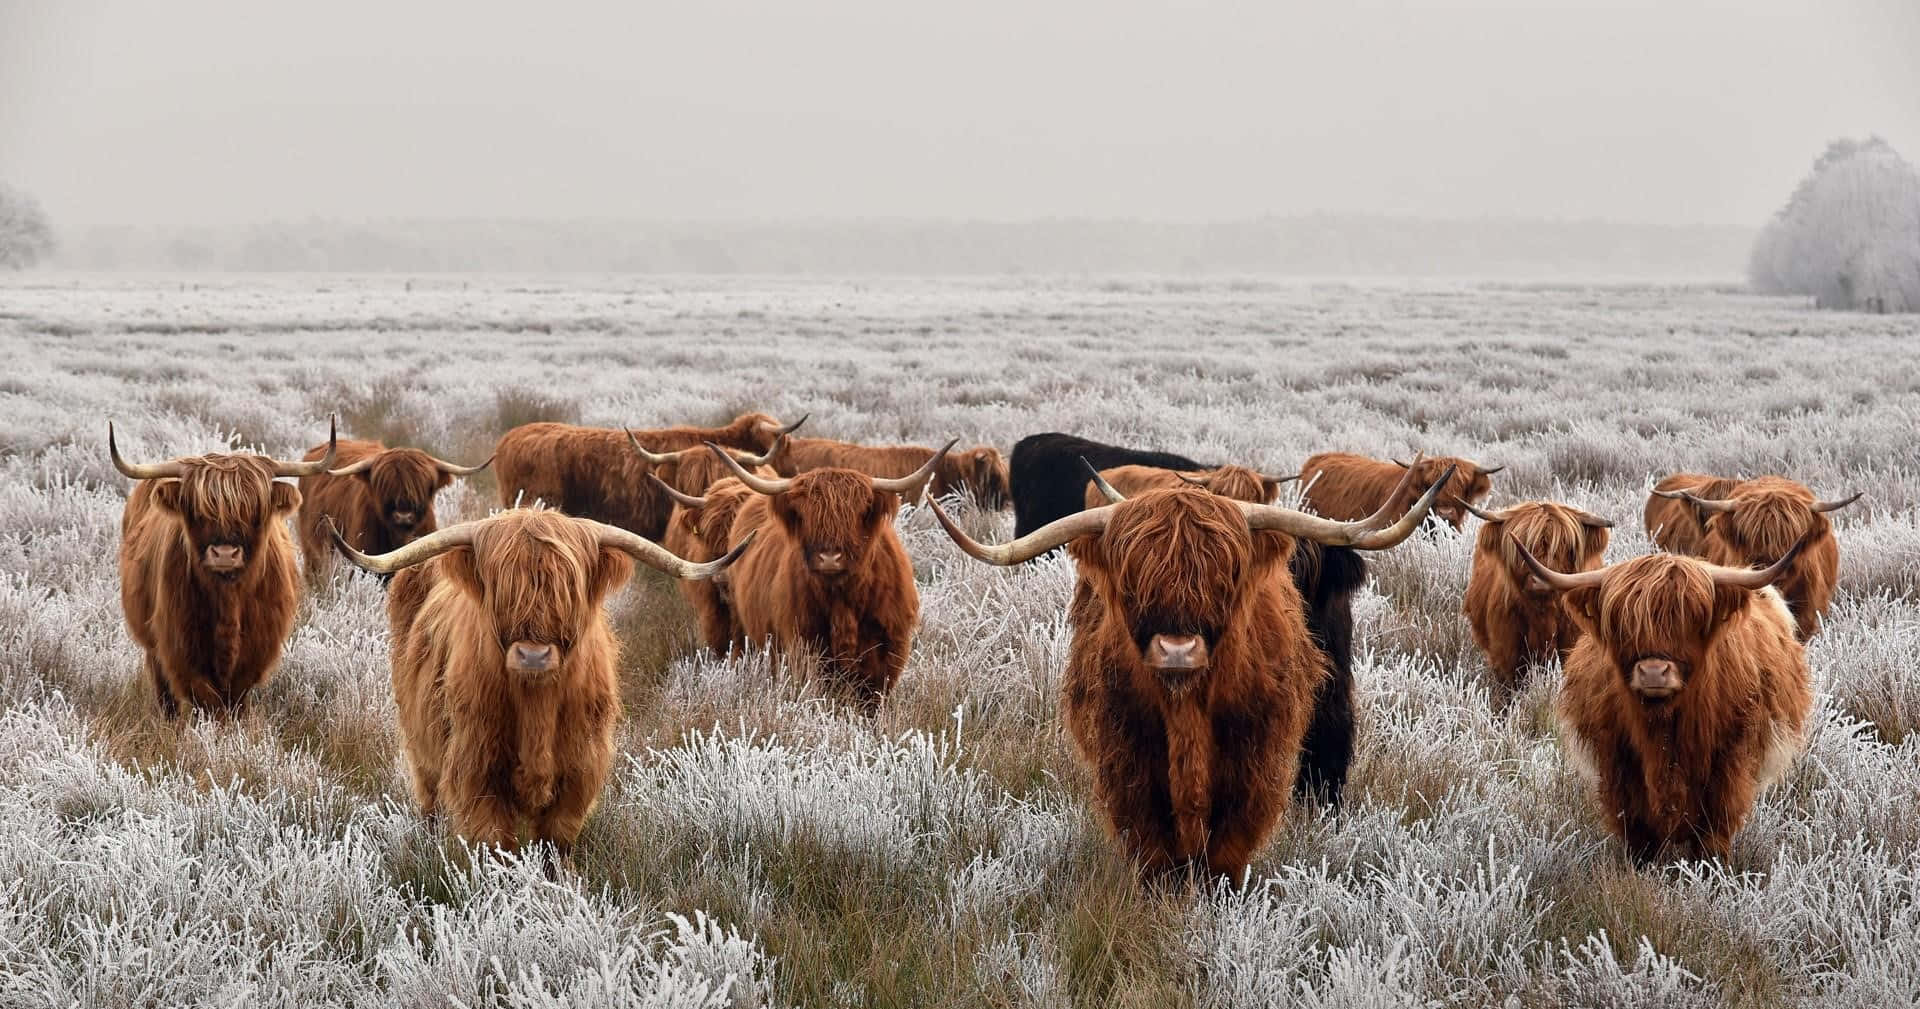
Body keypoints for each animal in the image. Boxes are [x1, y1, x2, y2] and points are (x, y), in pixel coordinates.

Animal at [112, 419, 337, 718]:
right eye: (198, 510)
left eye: (255, 511)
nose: (225, 553)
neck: (228, 598)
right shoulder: (180, 649)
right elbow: (207, 701)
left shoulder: (256, 653)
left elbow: (234, 702)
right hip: (152, 645)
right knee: (165, 693)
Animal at [327, 508, 751, 851]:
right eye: (501, 588)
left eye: (568, 589)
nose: (533, 655)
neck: (536, 708)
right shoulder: (475, 770)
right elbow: (496, 844)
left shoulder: (580, 772)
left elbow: (555, 842)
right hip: (421, 747)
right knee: (429, 797)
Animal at [710, 440, 954, 709]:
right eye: (805, 514)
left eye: (858, 513)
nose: (829, 558)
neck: (843, 601)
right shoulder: (805, 646)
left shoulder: (888, 651)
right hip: (742, 627)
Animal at [930, 465, 1452, 880]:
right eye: (1132, 579)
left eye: (1227, 575)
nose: (1177, 649)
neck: (1187, 710)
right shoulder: (1127, 761)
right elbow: (1154, 849)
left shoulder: (1254, 762)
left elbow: (1226, 849)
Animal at [1517, 537, 1814, 863]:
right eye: (1622, 622)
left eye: (1692, 618)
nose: (1653, 672)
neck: (1664, 728)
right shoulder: (1618, 764)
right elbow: (1638, 831)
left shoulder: (1730, 762)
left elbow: (1714, 830)